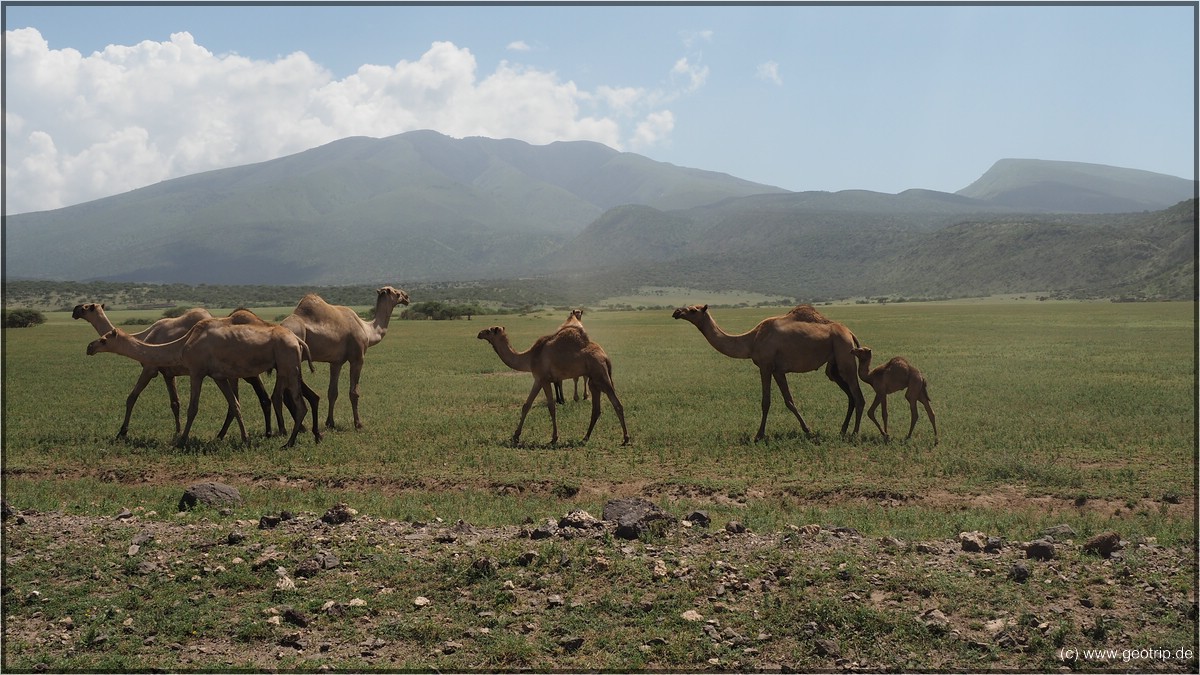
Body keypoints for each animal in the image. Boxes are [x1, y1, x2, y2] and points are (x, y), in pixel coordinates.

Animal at [72, 300, 276, 437]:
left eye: (85, 306)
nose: (74, 310)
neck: (145, 337)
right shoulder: (168, 373)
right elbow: (175, 403)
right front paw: (177, 432)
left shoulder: (150, 369)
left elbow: (132, 397)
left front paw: (122, 432)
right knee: (244, 400)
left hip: (243, 370)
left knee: (261, 397)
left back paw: (265, 432)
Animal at [87, 319, 319, 446]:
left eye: (104, 339)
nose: (90, 347)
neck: (183, 346)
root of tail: (298, 340)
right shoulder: (218, 376)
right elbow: (235, 405)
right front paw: (245, 439)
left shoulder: (196, 372)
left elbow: (193, 408)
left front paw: (182, 441)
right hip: (287, 365)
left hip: (288, 363)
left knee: (299, 403)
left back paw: (289, 443)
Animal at [278, 283, 410, 425]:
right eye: (397, 293)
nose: (407, 297)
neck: (367, 330)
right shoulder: (357, 358)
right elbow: (354, 392)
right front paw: (358, 423)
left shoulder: (336, 362)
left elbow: (332, 392)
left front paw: (330, 423)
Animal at [475, 321, 633, 444]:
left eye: (489, 330)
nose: (479, 333)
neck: (530, 357)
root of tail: (605, 357)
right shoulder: (539, 380)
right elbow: (527, 405)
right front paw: (516, 436)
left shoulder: (543, 379)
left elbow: (549, 406)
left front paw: (554, 438)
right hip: (594, 382)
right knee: (596, 409)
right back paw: (585, 438)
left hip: (601, 376)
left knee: (617, 404)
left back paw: (626, 438)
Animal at [676, 302, 864, 439]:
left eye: (693, 310)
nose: (677, 311)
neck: (752, 340)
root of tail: (850, 333)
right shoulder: (778, 370)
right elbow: (789, 401)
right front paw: (808, 430)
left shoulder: (765, 366)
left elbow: (766, 402)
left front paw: (759, 435)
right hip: (834, 366)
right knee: (850, 395)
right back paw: (842, 431)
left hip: (844, 354)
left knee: (858, 396)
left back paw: (854, 434)